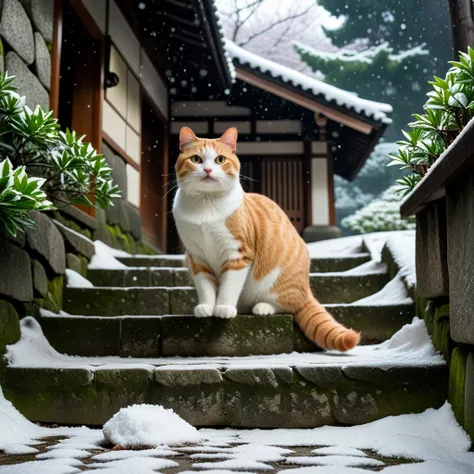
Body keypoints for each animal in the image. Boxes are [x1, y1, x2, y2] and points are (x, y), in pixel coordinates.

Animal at [172, 126, 362, 352]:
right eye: (196, 159)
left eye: (219, 159)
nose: (208, 170)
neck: (205, 207)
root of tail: (306, 289)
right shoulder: (196, 257)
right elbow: (205, 286)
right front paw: (207, 307)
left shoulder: (238, 253)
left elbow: (229, 286)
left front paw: (224, 307)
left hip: (275, 280)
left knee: (286, 305)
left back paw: (262, 307)